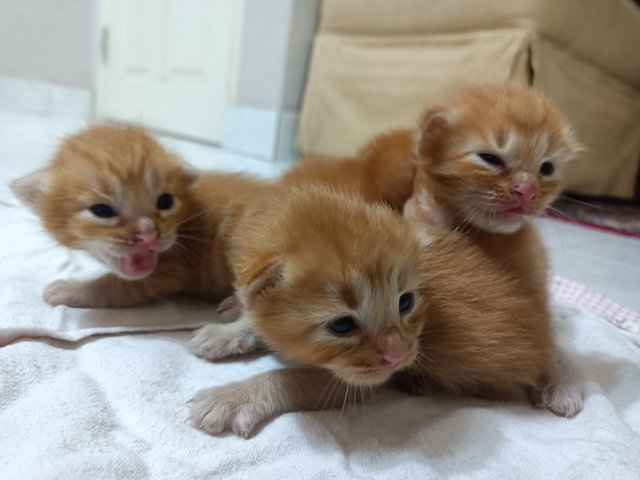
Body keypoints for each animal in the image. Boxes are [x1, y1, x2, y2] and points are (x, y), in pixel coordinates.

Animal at [8, 125, 276, 310]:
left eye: (165, 202)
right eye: (102, 211)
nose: (148, 234)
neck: (189, 213)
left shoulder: (174, 269)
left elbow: (116, 286)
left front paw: (71, 290)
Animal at [188, 186, 584, 436]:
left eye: (404, 302)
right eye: (342, 325)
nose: (399, 356)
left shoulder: (361, 379)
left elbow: (291, 378)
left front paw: (229, 399)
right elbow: (256, 321)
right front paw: (228, 331)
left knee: (554, 347)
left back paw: (561, 388)